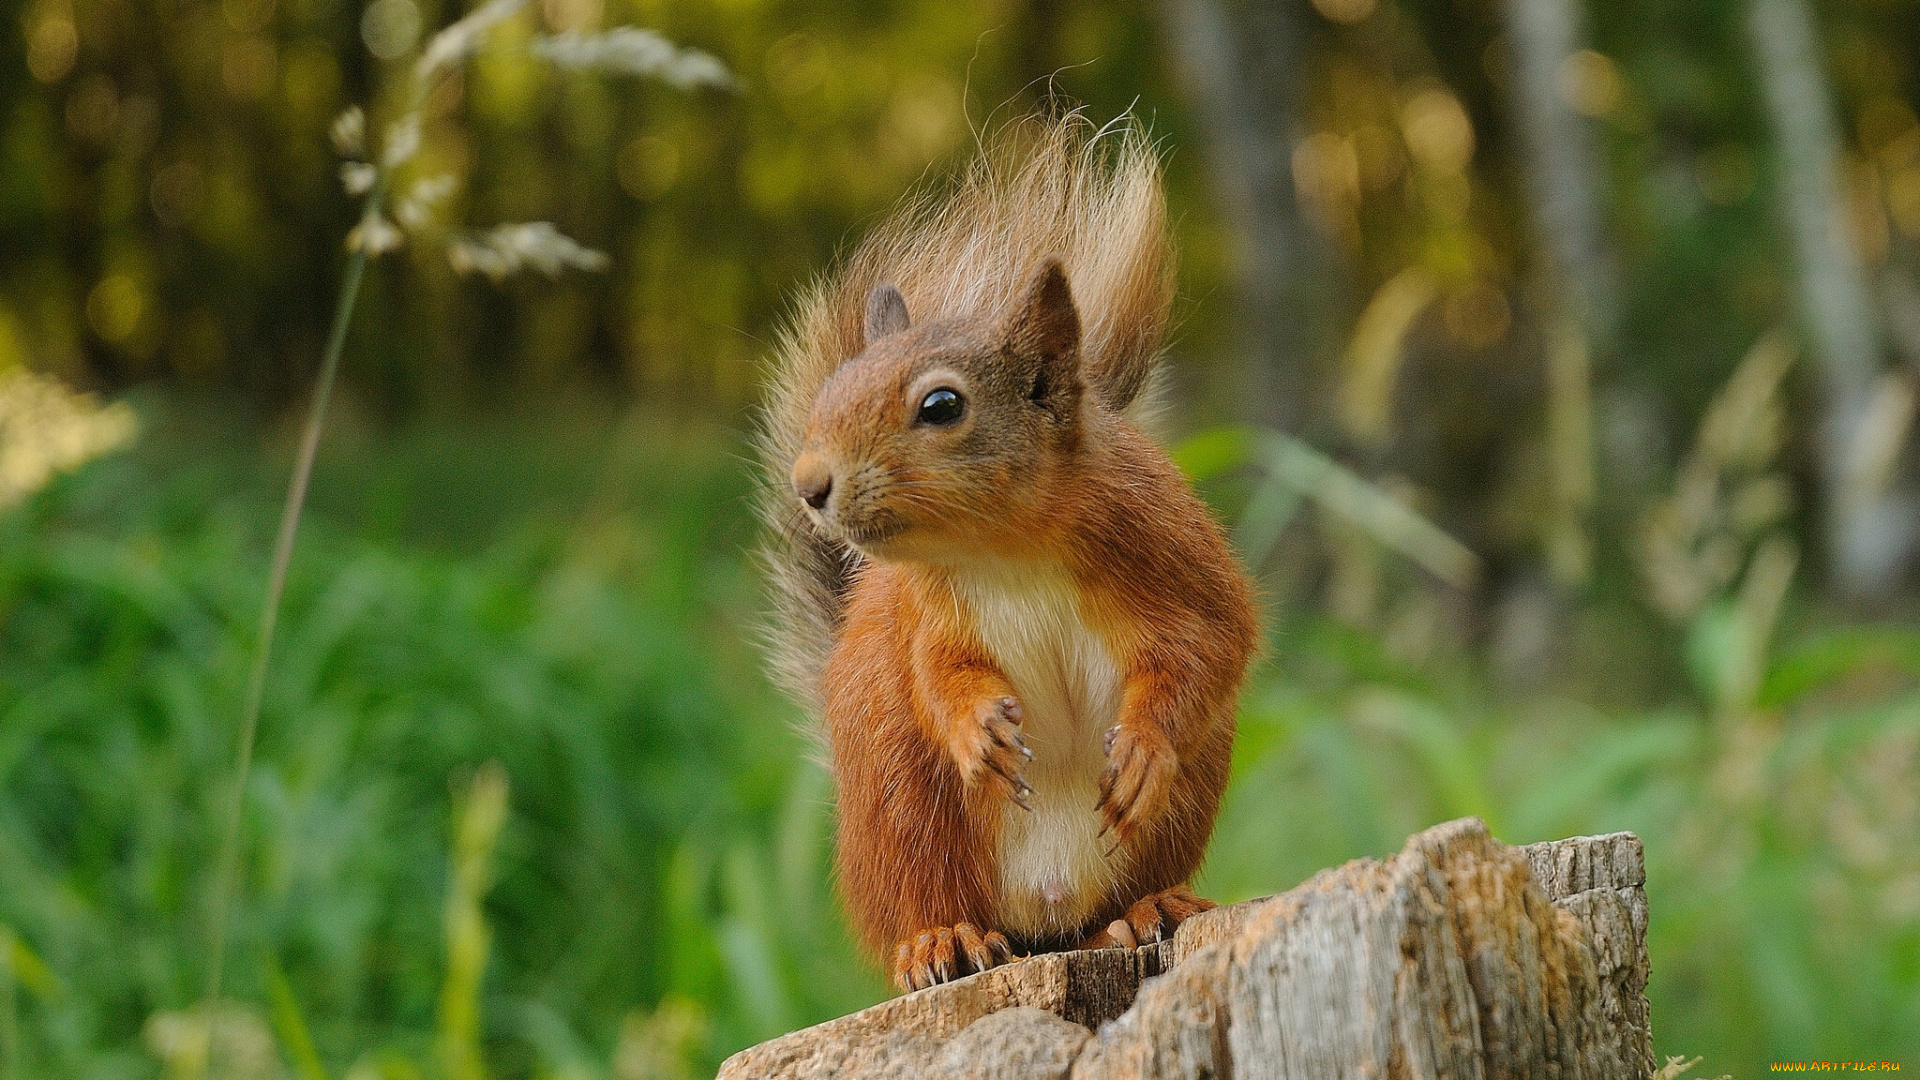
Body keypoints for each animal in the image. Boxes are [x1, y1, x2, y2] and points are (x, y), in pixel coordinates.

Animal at [748, 113, 1259, 991]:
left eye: (941, 406)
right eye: (831, 392)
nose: (808, 484)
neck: (1004, 550)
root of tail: (1040, 917)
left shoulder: (1174, 555)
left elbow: (1209, 648)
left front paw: (1143, 750)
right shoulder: (927, 615)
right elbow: (939, 676)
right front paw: (975, 730)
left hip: (1175, 810)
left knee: (1106, 908)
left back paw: (1145, 909)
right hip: (902, 807)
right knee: (928, 903)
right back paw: (941, 942)